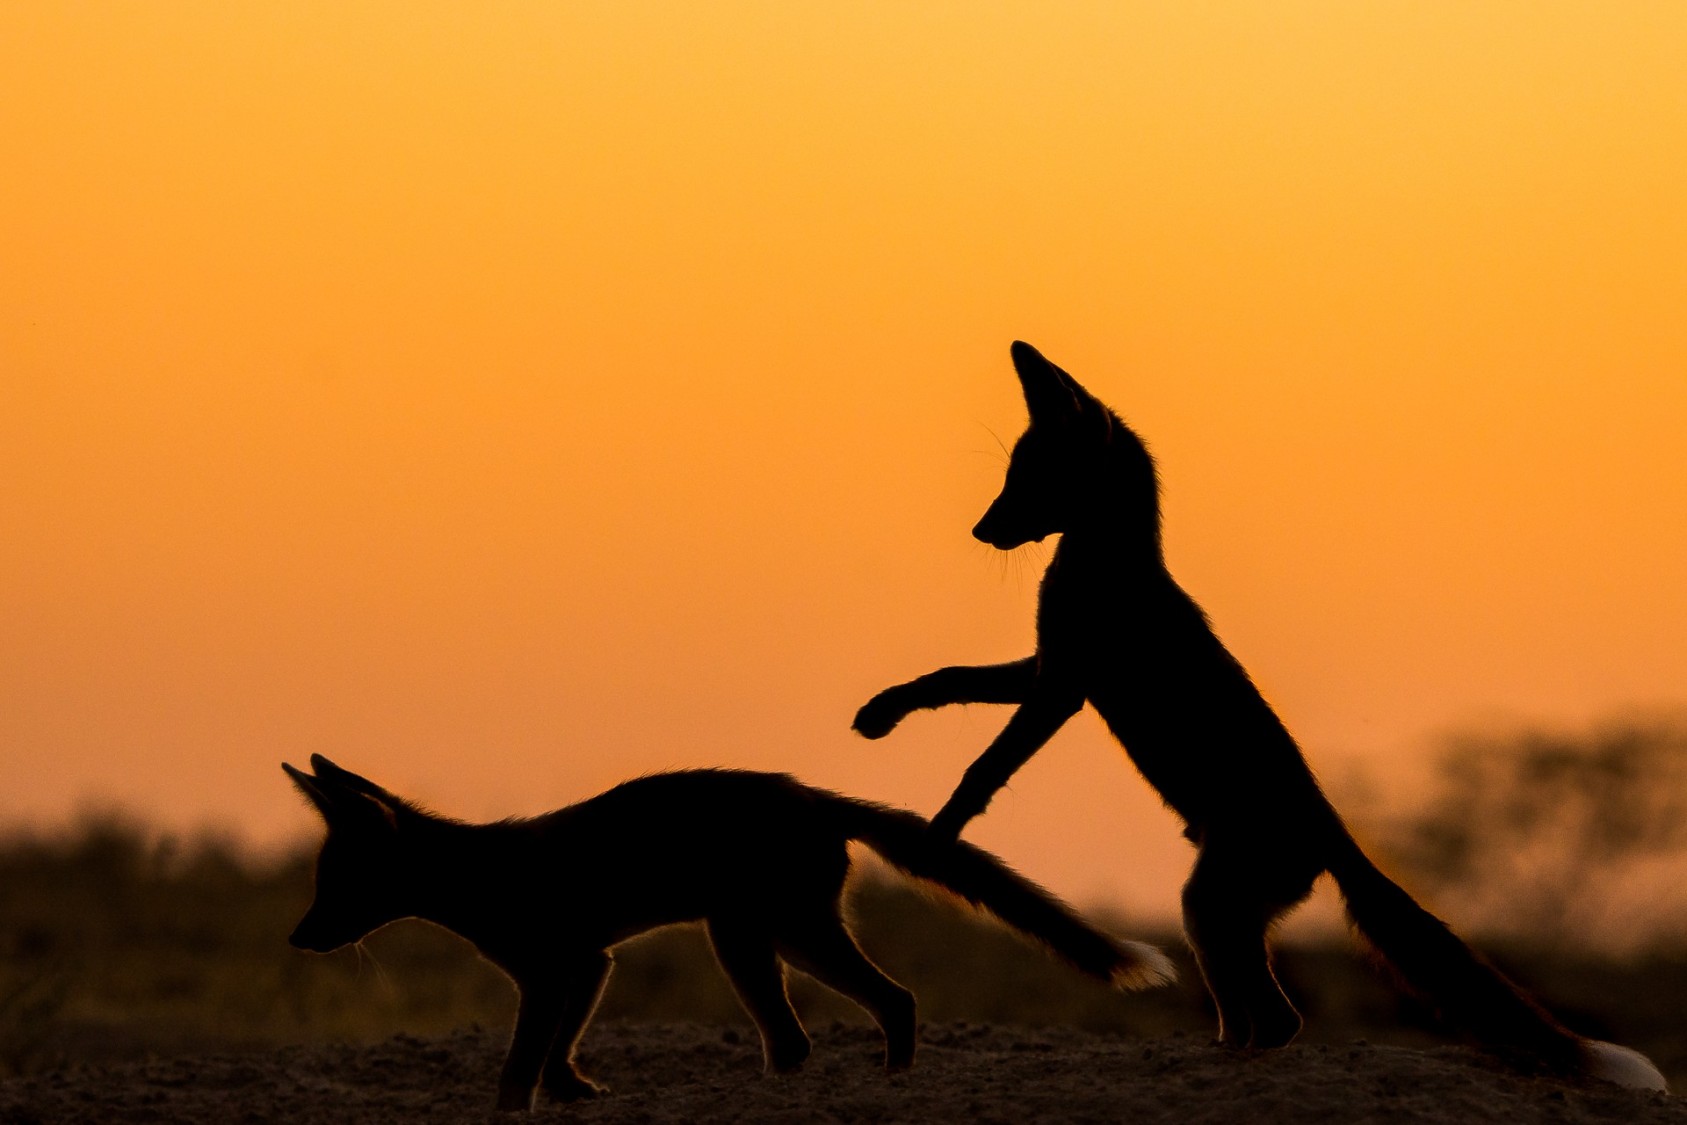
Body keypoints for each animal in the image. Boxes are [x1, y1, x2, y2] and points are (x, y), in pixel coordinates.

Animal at [280, 752, 1174, 1113]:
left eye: (336, 887)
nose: (296, 937)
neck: (479, 874)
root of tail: (812, 792)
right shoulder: (588, 961)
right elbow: (560, 1050)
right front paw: (577, 1091)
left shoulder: (550, 967)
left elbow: (517, 1066)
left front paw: (518, 1106)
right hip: (760, 940)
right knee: (805, 1039)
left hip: (767, 938)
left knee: (893, 1000)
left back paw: (887, 1086)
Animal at [850, 344, 1666, 1092]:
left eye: (1030, 476)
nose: (981, 530)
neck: (1109, 566)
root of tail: (1332, 833)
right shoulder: (1046, 665)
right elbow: (946, 679)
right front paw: (880, 712)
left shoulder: (1065, 687)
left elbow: (983, 767)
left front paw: (941, 832)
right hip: (1218, 917)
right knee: (1256, 1016)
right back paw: (1217, 1057)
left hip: (1208, 905)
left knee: (1279, 1021)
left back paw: (1230, 1064)